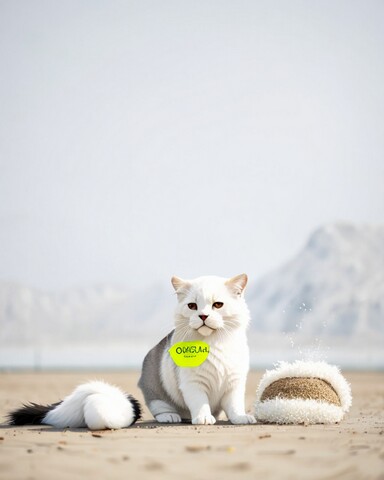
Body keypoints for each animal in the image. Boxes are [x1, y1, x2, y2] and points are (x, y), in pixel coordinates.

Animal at [138, 274, 255, 424]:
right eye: (192, 306)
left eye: (218, 304)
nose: (203, 316)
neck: (212, 343)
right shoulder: (192, 383)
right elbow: (200, 402)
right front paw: (203, 418)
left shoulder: (234, 383)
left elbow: (235, 404)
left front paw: (240, 417)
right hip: (154, 390)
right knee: (159, 407)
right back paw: (169, 416)